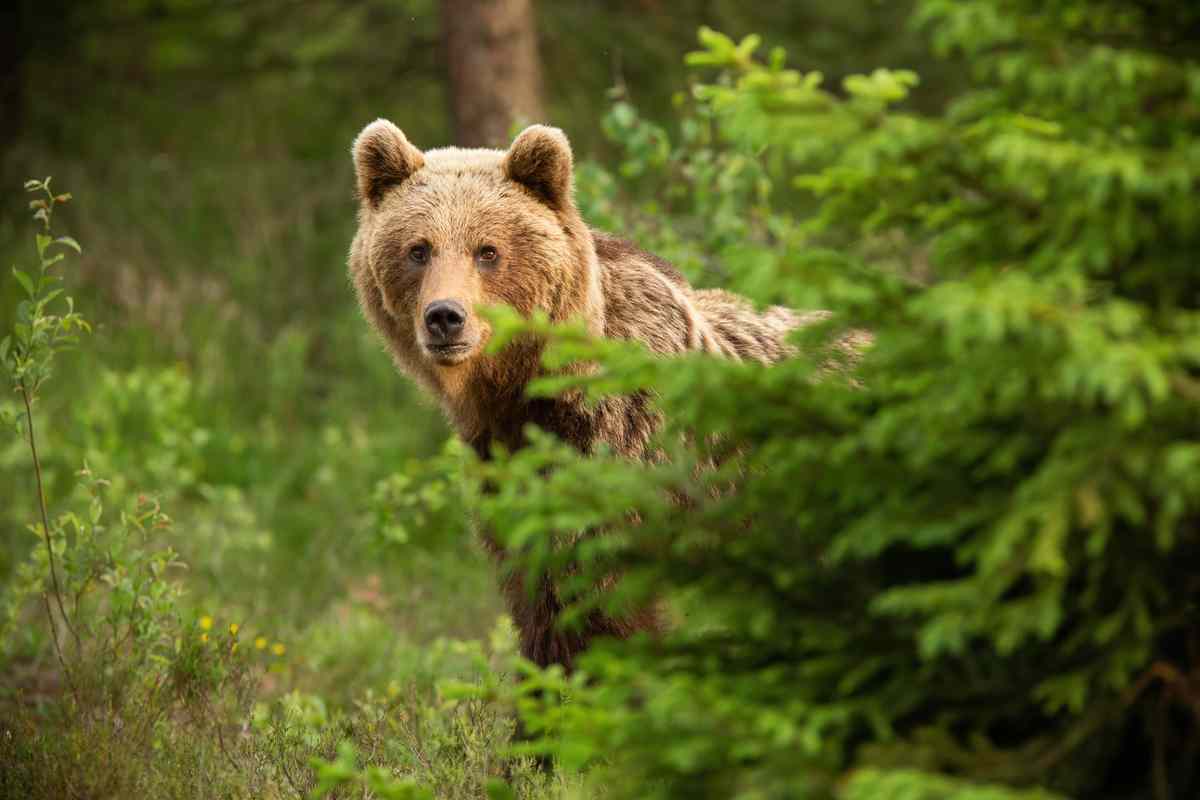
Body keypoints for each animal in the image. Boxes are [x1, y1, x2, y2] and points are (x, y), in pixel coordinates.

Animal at [348, 118, 816, 671]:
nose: (445, 317)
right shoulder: (507, 466)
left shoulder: (622, 451)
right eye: (418, 249)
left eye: (488, 251)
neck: (529, 387)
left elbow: (594, 602)